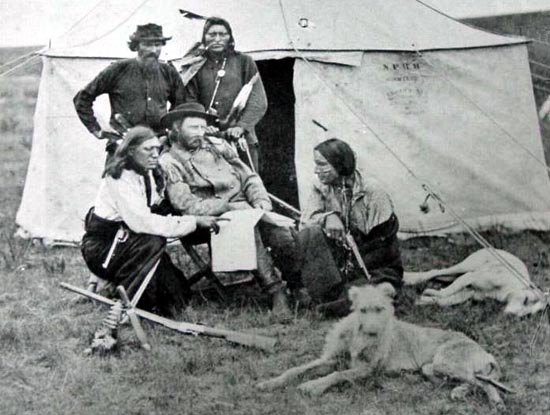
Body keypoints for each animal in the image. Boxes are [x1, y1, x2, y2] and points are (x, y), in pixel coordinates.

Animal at [258, 284, 512, 412]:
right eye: (363, 310)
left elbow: (337, 374)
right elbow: (296, 369)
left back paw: (496, 401)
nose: (372, 333)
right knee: (473, 381)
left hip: (446, 361)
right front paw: (271, 382)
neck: (358, 335)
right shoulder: (329, 358)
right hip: (431, 368)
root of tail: (482, 349)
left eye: (380, 309)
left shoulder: (366, 369)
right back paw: (459, 390)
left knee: (484, 382)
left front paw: (313, 385)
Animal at [404, 249, 544, 316]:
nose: (511, 316)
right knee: (436, 271)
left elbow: (444, 301)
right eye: (525, 300)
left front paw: (424, 300)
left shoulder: (470, 292)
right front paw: (431, 294)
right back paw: (410, 278)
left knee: (441, 276)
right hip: (464, 267)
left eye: (528, 315)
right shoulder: (470, 277)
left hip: (453, 276)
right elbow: (445, 293)